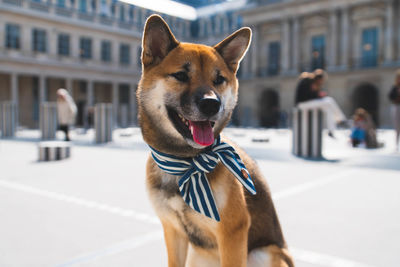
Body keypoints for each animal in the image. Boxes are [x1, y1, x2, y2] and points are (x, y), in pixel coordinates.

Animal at [138, 15, 294, 267]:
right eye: (181, 75)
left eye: (219, 79)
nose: (212, 104)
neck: (185, 163)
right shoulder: (173, 231)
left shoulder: (232, 232)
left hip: (261, 253)